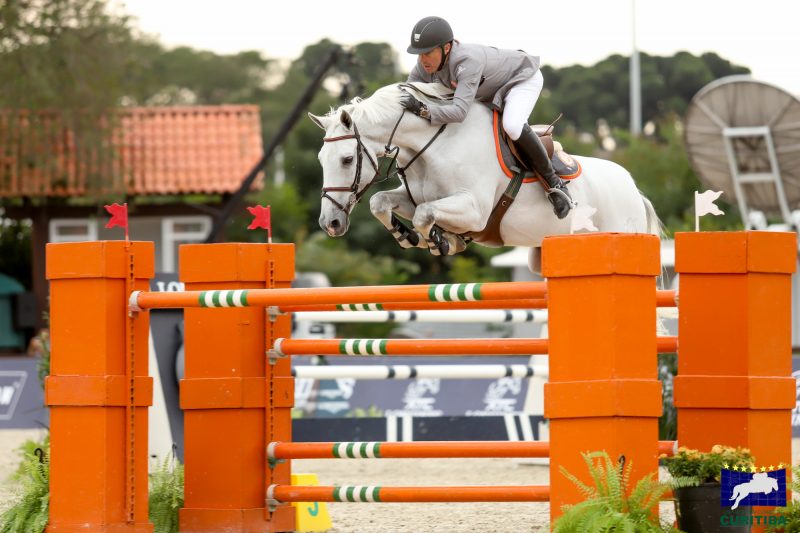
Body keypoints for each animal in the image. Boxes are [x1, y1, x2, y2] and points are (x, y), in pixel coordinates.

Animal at [309, 82, 661, 272]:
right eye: (321, 160)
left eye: (347, 159)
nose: (330, 223)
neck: (434, 144)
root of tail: (635, 191)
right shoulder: (414, 198)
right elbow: (382, 202)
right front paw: (408, 236)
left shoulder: (474, 210)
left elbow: (425, 215)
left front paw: (441, 241)